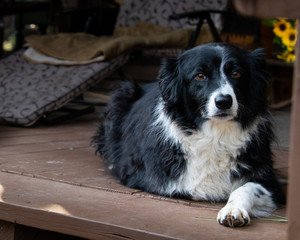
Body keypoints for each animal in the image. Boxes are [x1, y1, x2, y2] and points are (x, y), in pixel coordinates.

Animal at [92, 43, 284, 227]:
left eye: (236, 74)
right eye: (200, 76)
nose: (223, 102)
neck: (215, 133)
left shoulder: (268, 180)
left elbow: (246, 188)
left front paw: (233, 211)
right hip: (122, 94)